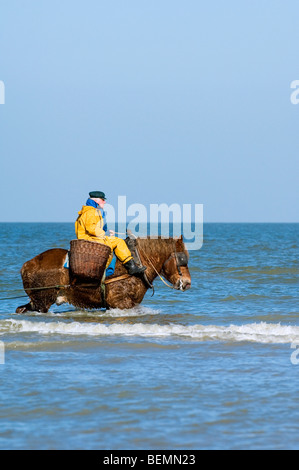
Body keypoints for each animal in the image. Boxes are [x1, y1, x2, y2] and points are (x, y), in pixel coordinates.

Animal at [15, 237, 192, 314]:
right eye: (182, 259)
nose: (188, 282)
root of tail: (27, 265)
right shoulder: (120, 302)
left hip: (36, 299)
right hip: (43, 299)